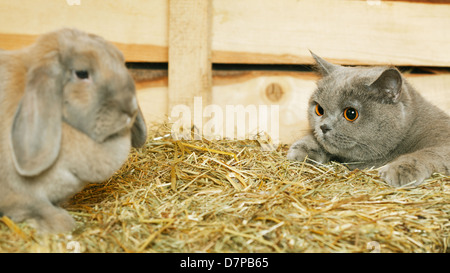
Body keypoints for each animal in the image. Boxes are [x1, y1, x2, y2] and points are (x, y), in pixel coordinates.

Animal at [288, 51, 450, 186]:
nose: (323, 127)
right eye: (319, 110)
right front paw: (302, 149)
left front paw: (400, 169)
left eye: (351, 113)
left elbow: (427, 153)